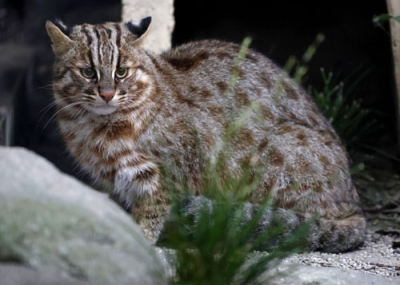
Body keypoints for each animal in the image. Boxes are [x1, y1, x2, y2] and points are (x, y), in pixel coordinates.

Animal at [45, 16, 368, 251]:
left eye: (122, 72)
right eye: (88, 72)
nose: (108, 94)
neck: (94, 126)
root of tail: (355, 204)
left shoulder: (169, 176)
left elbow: (150, 215)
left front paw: (139, 242)